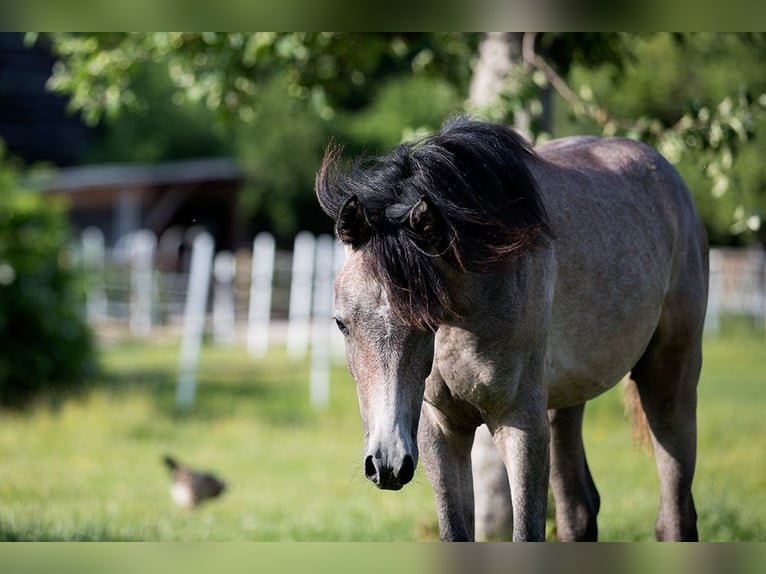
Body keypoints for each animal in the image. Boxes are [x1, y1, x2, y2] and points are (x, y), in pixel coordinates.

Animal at [315, 117, 708, 541]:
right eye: (341, 323)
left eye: (426, 323)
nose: (387, 463)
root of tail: (667, 175)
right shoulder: (441, 430)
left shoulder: (520, 427)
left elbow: (526, 533)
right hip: (563, 404)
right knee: (578, 511)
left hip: (669, 382)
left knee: (675, 515)